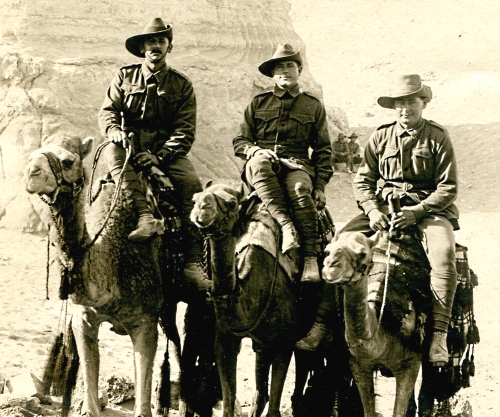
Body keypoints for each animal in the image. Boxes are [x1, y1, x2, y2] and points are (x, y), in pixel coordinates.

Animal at [24, 136, 169, 416]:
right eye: (31, 156)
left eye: (68, 161)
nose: (31, 173)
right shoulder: (84, 319)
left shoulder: (146, 321)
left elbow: (142, 405)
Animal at [190, 184, 300, 416]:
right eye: (195, 198)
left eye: (231, 203)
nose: (202, 208)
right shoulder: (225, 341)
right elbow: (228, 404)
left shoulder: (285, 343)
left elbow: (274, 408)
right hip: (262, 344)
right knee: (260, 392)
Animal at [322, 231, 432, 416]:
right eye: (327, 250)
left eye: (362, 254)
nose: (331, 267)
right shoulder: (358, 365)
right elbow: (369, 412)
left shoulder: (411, 364)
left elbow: (398, 412)